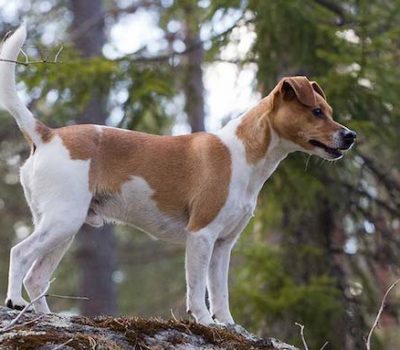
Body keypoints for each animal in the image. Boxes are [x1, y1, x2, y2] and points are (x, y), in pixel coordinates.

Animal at [0, 25, 356, 326]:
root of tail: (47, 135)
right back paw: (15, 301)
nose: (350, 136)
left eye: (329, 111)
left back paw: (47, 317)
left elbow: (220, 292)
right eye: (316, 112)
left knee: (37, 276)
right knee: (19, 255)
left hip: (63, 228)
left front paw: (227, 325)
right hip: (63, 221)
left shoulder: (223, 245)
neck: (243, 155)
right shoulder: (201, 235)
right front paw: (204, 321)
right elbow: (197, 290)